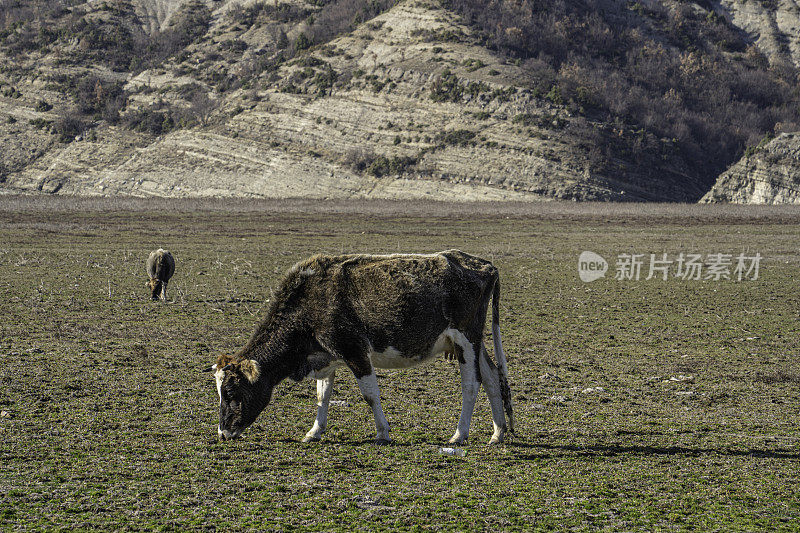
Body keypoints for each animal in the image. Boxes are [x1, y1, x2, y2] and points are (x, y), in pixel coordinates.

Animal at [209, 249, 516, 444]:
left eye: (232, 392)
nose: (223, 433)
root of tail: (485, 265)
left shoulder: (354, 351)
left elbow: (370, 395)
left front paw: (382, 432)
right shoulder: (327, 356)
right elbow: (322, 396)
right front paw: (314, 432)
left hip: (466, 340)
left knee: (472, 385)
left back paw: (459, 434)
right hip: (474, 343)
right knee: (492, 377)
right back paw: (497, 433)